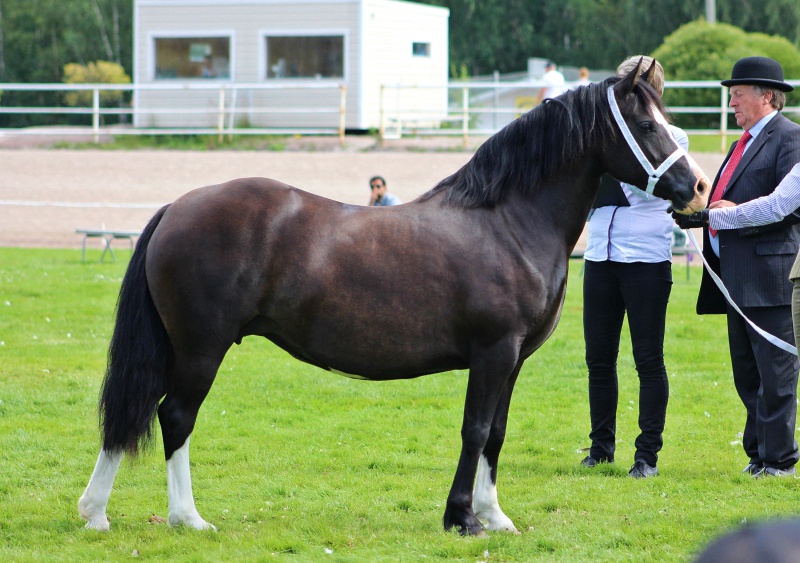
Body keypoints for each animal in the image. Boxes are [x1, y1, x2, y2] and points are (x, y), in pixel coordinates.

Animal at [79, 60, 709, 536]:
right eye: (647, 124)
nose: (698, 187)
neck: (507, 221)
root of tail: (176, 208)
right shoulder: (492, 354)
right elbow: (475, 430)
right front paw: (462, 518)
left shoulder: (512, 362)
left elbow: (496, 434)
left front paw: (494, 516)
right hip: (201, 348)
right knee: (174, 416)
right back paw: (187, 519)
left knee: (137, 412)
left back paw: (95, 513)